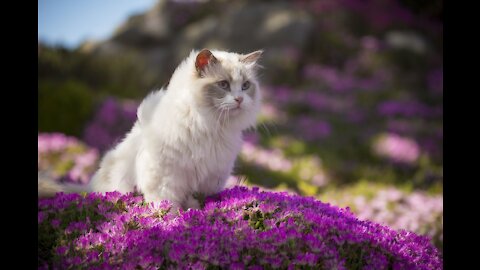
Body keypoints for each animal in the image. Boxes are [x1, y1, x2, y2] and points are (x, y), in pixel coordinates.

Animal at [38, 49, 262, 212]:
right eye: (223, 85)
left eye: (245, 86)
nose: (240, 99)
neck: (210, 125)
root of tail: (89, 188)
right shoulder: (167, 177)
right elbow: (168, 205)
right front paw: (175, 222)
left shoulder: (207, 178)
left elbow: (193, 202)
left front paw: (194, 214)